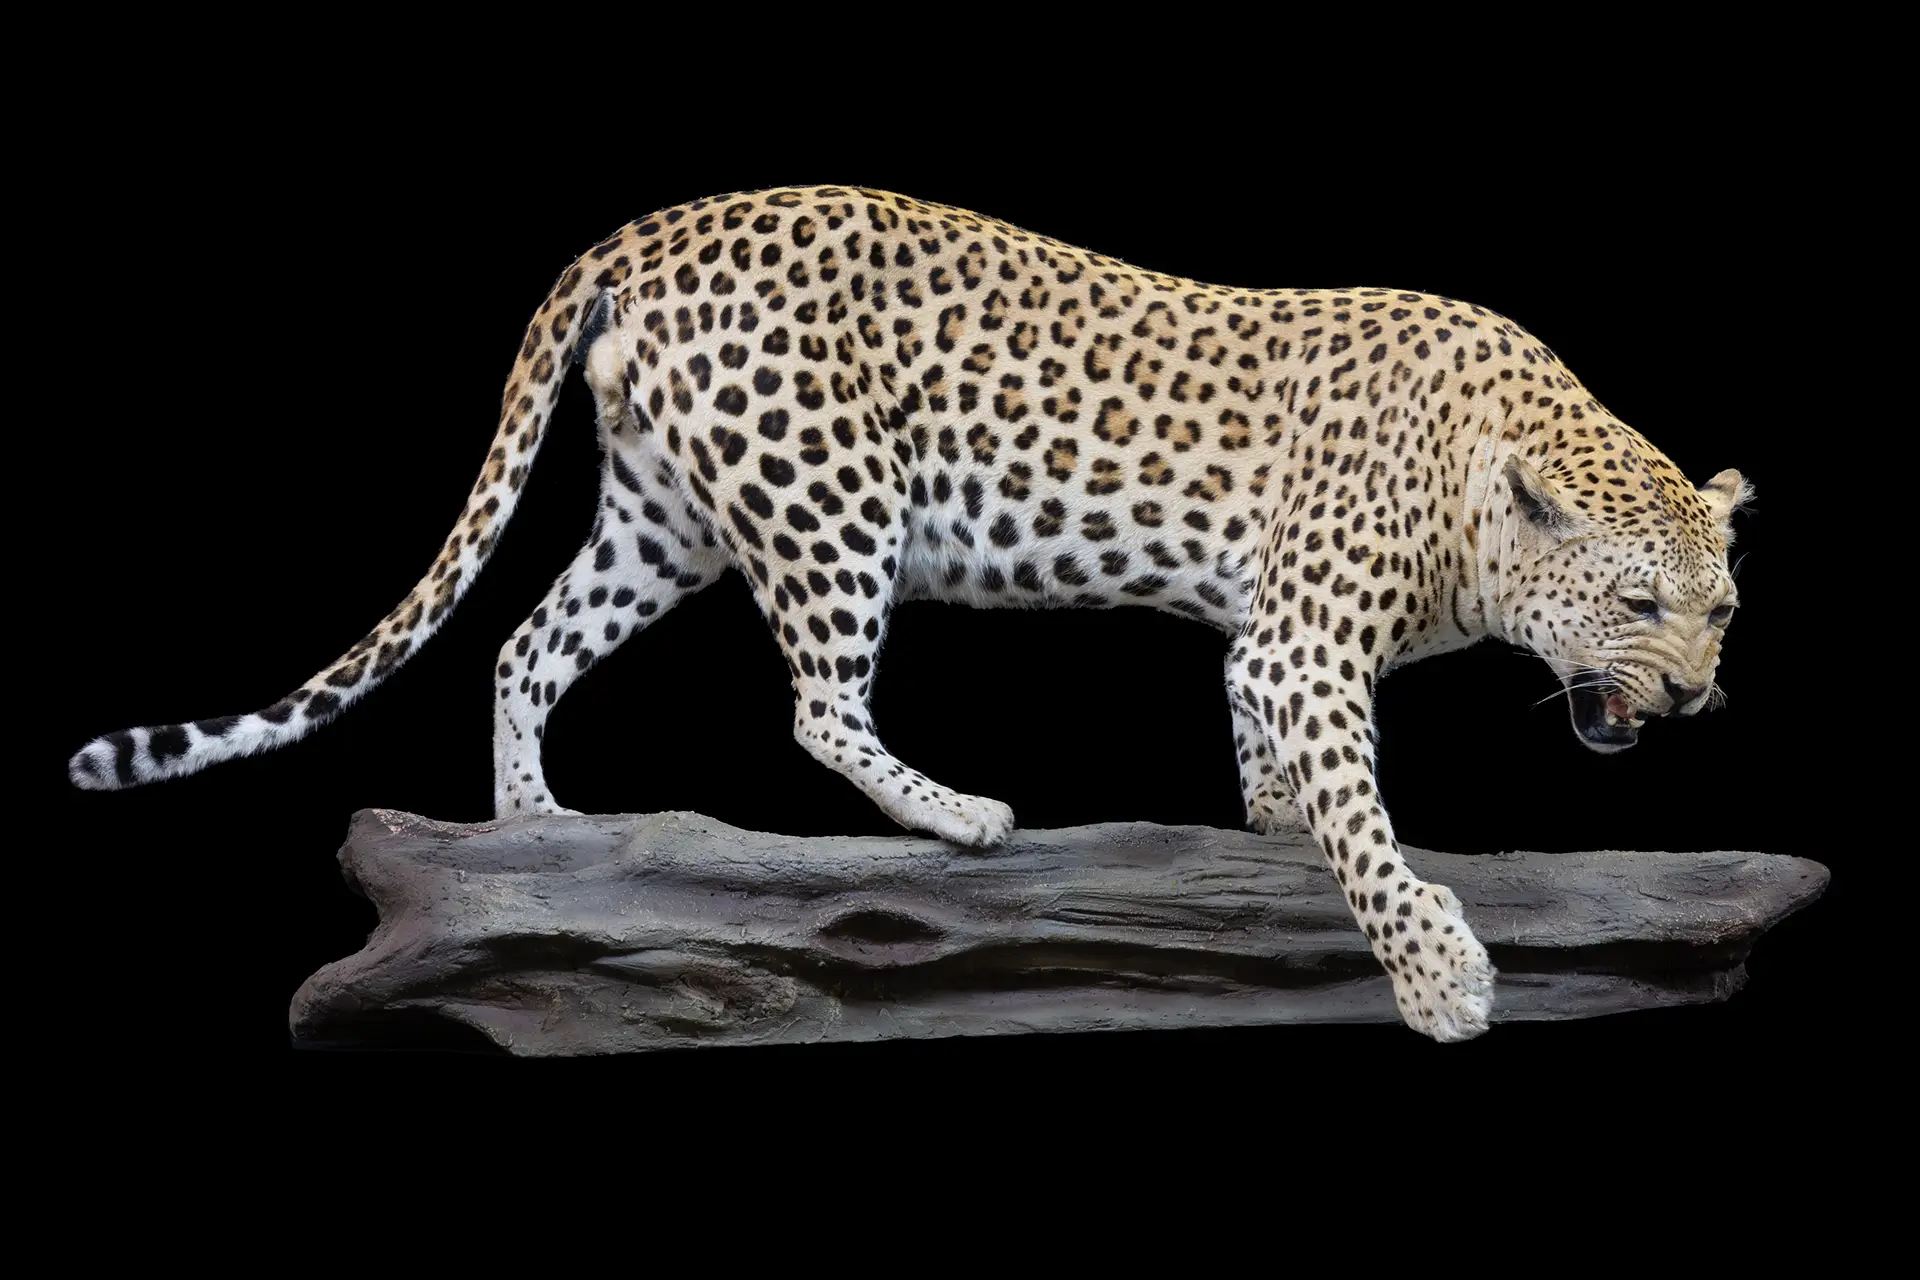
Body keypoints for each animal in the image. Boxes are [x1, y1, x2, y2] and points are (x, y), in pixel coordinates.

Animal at [67, 185, 1753, 1042]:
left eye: (1724, 612)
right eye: (1637, 600)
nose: (1692, 698)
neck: (1480, 494)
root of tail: (640, 232)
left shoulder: (1267, 641)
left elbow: (1274, 756)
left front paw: (1268, 821)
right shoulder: (1305, 638)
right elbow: (1364, 816)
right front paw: (1438, 974)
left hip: (664, 516)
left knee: (525, 644)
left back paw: (538, 831)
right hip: (830, 497)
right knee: (817, 701)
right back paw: (956, 816)